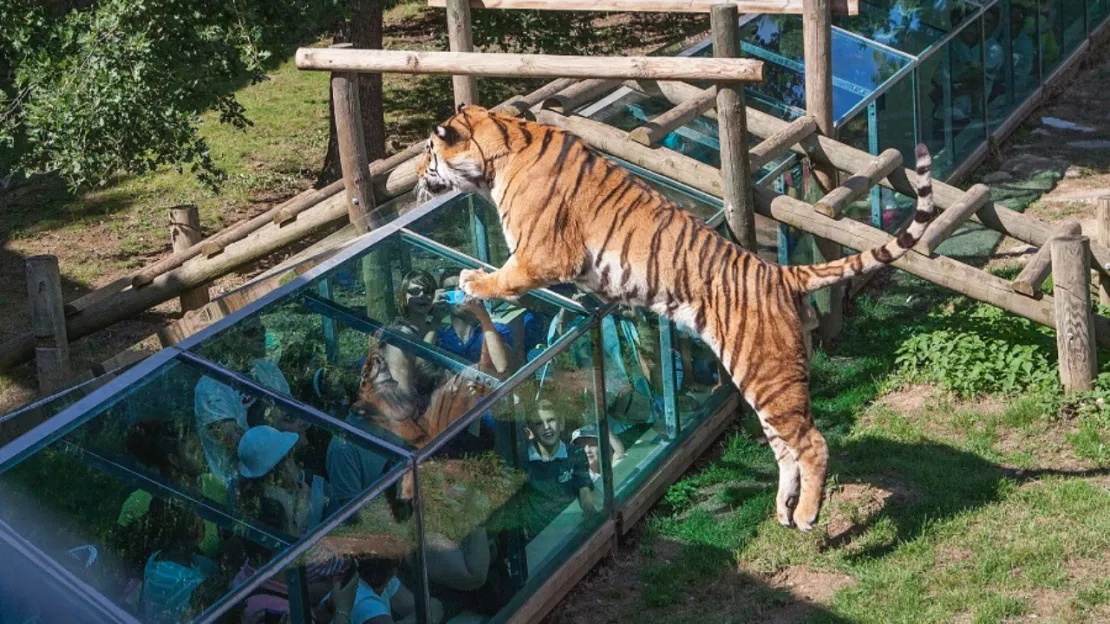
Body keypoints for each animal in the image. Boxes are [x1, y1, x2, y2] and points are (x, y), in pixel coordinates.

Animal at [412, 102, 932, 528]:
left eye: (427, 153)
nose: (418, 177)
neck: (500, 147)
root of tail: (779, 273)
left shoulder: (540, 254)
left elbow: (505, 277)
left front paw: (470, 281)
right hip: (769, 381)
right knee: (786, 446)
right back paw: (784, 510)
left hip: (766, 370)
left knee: (812, 443)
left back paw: (806, 516)